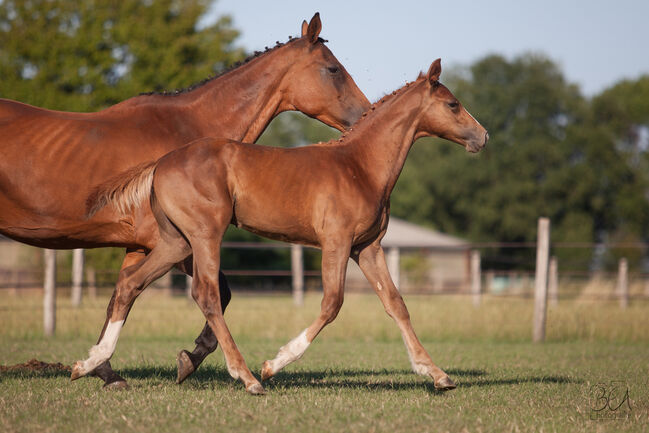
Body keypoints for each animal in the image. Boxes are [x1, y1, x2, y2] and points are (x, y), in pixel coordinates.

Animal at [82, 59, 486, 394]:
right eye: (452, 104)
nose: (483, 137)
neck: (359, 166)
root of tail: (161, 163)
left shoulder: (367, 248)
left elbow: (396, 304)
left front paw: (437, 375)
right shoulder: (337, 242)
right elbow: (332, 303)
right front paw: (273, 364)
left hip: (176, 242)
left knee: (130, 284)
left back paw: (89, 363)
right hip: (204, 235)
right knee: (206, 295)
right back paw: (248, 378)